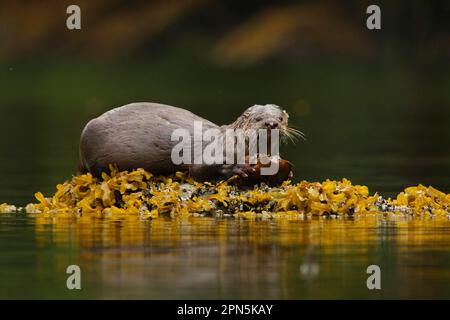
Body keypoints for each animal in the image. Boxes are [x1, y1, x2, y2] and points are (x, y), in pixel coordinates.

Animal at [78, 101, 302, 184]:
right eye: (258, 118)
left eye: (281, 118)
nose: (271, 123)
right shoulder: (212, 151)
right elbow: (199, 169)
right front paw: (240, 167)